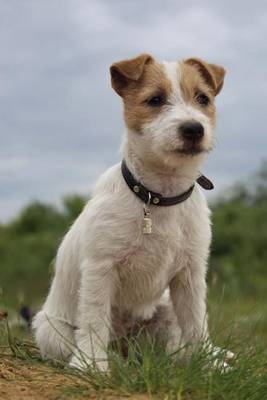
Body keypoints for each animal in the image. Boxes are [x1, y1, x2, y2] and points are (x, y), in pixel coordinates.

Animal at [33, 54, 232, 372]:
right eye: (155, 99)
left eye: (203, 98)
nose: (193, 129)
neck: (160, 196)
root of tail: (128, 349)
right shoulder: (100, 269)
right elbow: (94, 320)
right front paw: (92, 364)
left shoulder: (190, 274)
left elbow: (196, 322)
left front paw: (208, 364)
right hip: (51, 331)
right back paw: (112, 361)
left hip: (166, 309)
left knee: (176, 345)